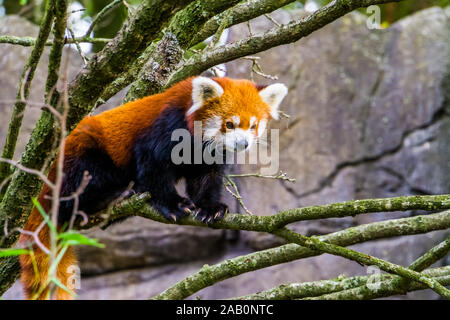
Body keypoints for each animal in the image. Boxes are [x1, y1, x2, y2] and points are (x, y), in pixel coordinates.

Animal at [18, 76, 288, 298]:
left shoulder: (208, 156)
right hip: (83, 153)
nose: (243, 143)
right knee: (79, 185)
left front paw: (210, 208)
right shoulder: (162, 130)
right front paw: (173, 204)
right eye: (229, 124)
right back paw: (107, 199)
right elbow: (154, 170)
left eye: (252, 125)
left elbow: (205, 179)